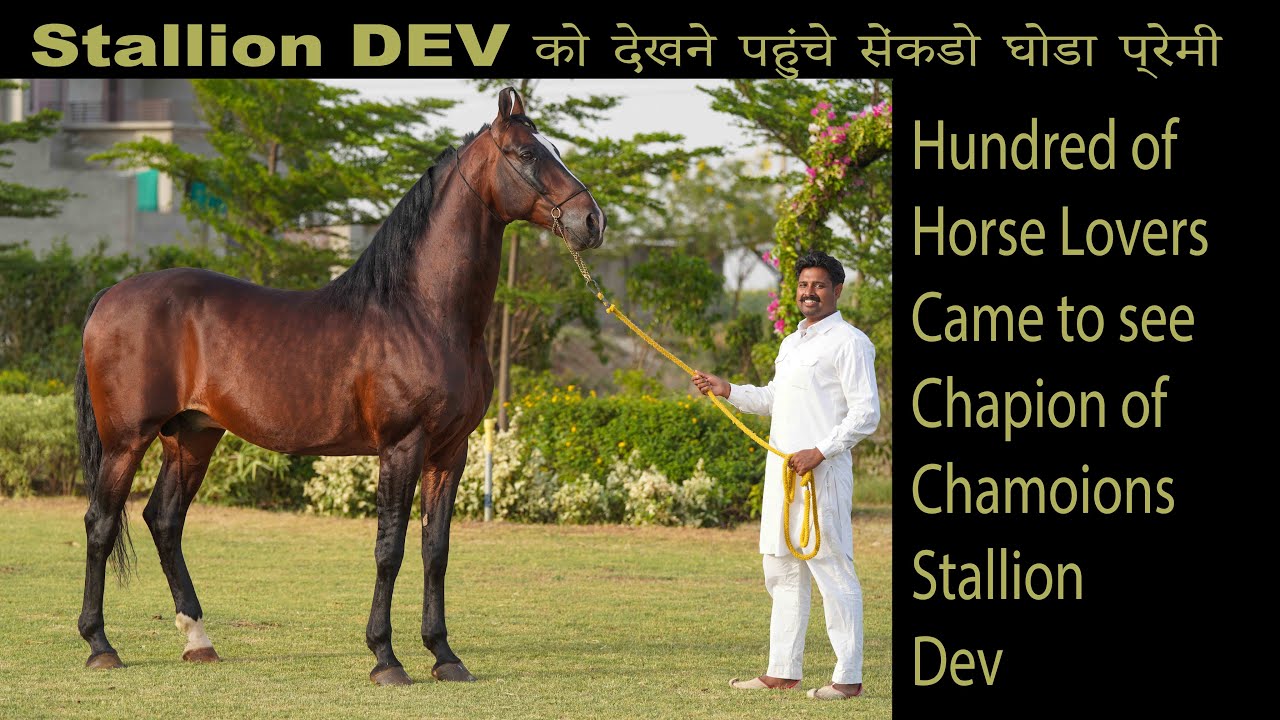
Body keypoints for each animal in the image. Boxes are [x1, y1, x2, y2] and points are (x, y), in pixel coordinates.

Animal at [73, 86, 605, 686]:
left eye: (553, 147)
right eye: (526, 154)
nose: (592, 220)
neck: (421, 312)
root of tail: (110, 296)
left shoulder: (452, 451)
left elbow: (436, 550)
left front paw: (445, 655)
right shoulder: (402, 446)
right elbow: (389, 549)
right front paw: (385, 657)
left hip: (191, 437)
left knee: (164, 520)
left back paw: (198, 640)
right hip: (126, 441)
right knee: (100, 523)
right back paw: (100, 644)